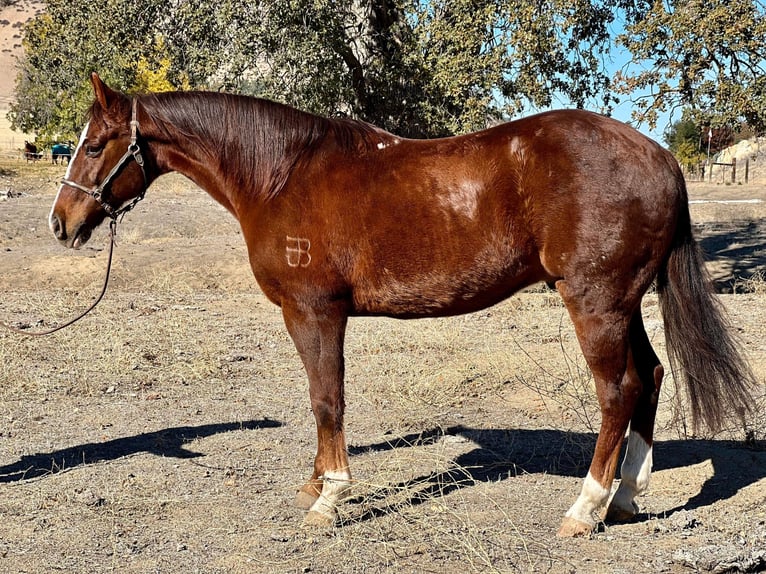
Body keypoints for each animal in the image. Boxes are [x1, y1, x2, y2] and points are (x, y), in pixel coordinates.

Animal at [48, 73, 756, 540]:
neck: (283, 174)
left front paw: (329, 499)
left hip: (596, 303)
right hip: (623, 302)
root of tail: (660, 155)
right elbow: (321, 400)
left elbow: (326, 399)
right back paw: (628, 497)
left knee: (619, 390)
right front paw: (316, 483)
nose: (61, 223)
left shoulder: (315, 312)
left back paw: (585, 509)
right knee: (651, 377)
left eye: (94, 144)